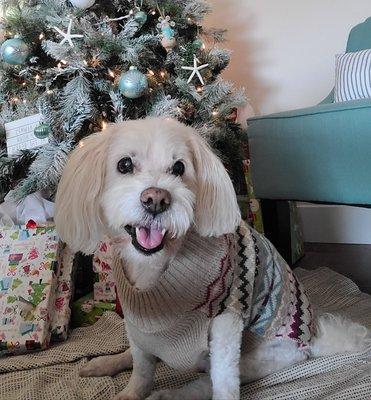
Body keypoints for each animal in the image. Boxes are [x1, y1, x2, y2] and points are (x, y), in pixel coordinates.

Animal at [53, 117, 370, 398]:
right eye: (124, 164)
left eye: (179, 167)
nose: (156, 199)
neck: (156, 265)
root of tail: (311, 337)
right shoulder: (137, 321)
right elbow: (142, 366)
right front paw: (131, 393)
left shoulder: (226, 323)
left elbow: (223, 381)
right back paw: (106, 363)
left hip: (259, 358)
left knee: (206, 381)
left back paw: (169, 395)